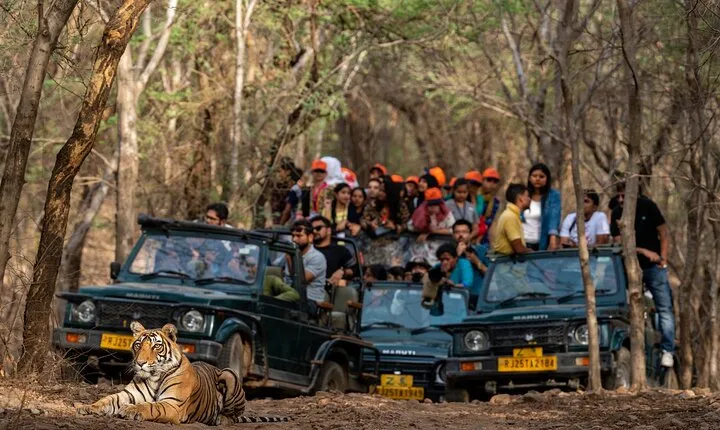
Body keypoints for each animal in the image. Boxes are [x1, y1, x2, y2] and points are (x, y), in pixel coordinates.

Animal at [76, 321, 290, 424]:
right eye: (138, 345)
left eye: (155, 346)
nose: (141, 363)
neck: (154, 376)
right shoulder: (127, 394)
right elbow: (106, 400)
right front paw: (86, 407)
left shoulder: (173, 404)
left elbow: (150, 406)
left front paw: (130, 410)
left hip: (229, 374)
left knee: (234, 415)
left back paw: (221, 419)